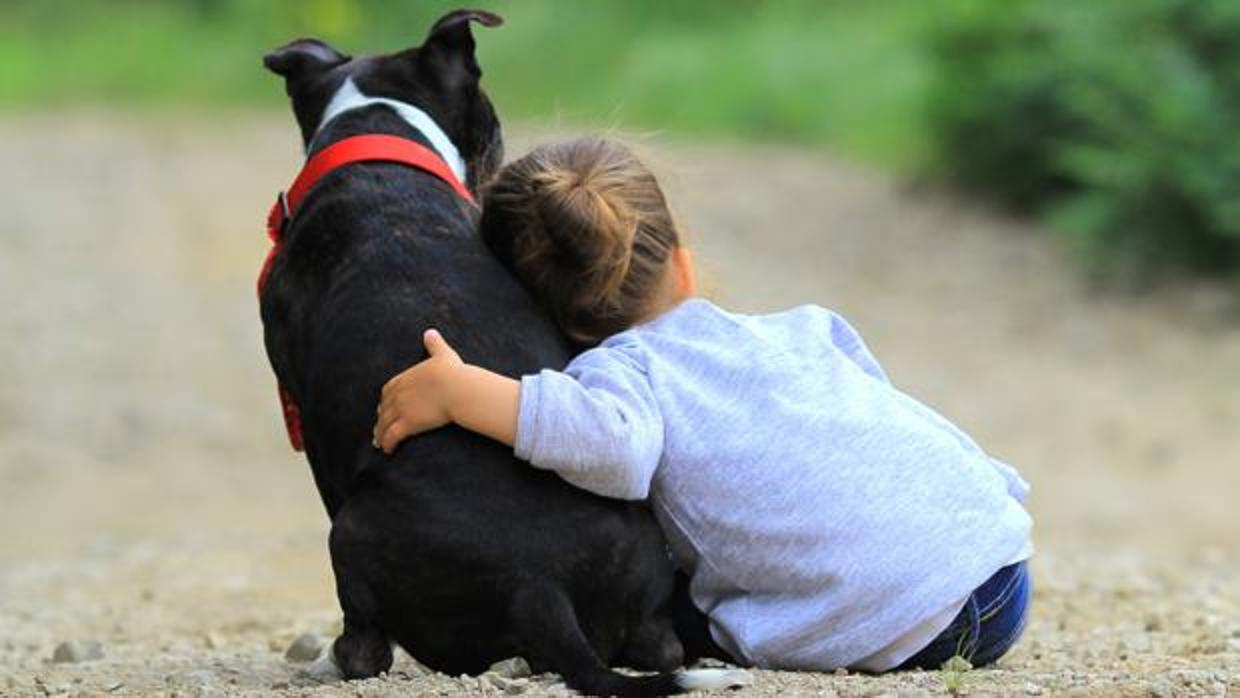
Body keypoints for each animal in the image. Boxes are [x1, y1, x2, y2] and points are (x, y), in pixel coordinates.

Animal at [256, 8, 744, 694]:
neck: (375, 134)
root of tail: (538, 585)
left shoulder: (311, 423)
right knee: (659, 646)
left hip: (349, 533)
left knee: (368, 648)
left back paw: (335, 659)